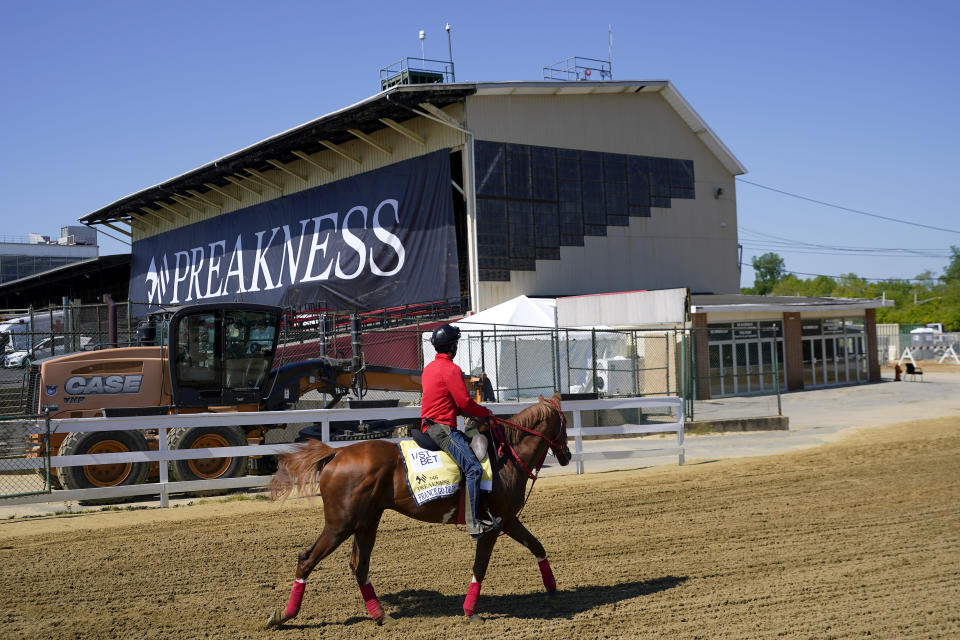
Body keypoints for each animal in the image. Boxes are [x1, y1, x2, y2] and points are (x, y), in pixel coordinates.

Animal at [264, 390, 568, 624]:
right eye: (564, 423)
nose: (566, 455)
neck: (504, 457)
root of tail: (336, 453)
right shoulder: (493, 525)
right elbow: (480, 566)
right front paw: (470, 611)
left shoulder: (509, 520)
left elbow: (538, 547)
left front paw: (554, 593)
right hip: (340, 525)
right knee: (307, 559)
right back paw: (284, 616)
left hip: (367, 522)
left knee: (359, 566)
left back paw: (381, 615)